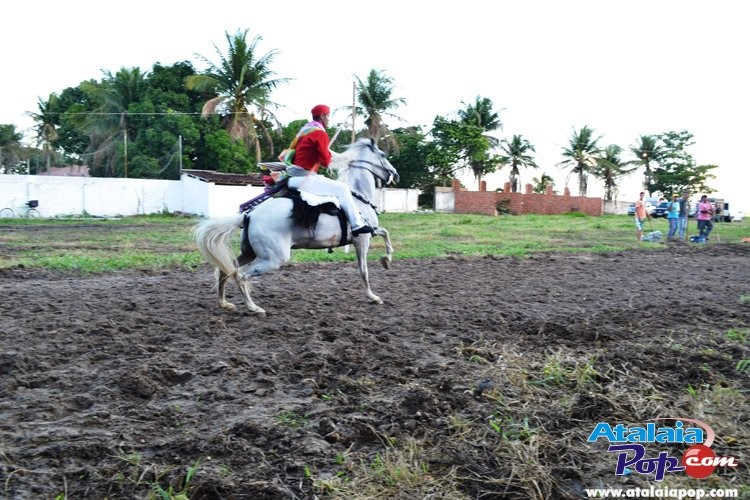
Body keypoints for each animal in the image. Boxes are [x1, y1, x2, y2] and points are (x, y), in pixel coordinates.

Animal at [192, 137, 400, 315]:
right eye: (383, 155)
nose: (396, 175)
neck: (358, 197)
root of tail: (248, 215)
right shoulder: (362, 239)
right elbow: (364, 270)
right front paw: (373, 296)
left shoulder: (370, 233)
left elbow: (386, 233)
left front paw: (387, 259)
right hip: (273, 258)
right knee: (241, 276)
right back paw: (254, 308)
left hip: (249, 253)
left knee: (226, 270)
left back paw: (224, 303)